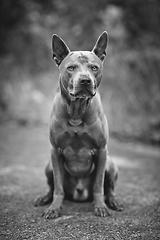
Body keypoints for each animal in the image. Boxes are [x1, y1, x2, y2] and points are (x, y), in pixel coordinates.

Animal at [34, 31, 122, 218]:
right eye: (71, 67)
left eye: (94, 68)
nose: (85, 80)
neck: (77, 110)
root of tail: (79, 194)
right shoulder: (55, 151)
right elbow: (58, 186)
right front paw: (54, 208)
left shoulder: (101, 151)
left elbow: (98, 184)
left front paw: (100, 206)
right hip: (48, 166)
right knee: (51, 186)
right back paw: (45, 198)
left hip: (110, 163)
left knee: (109, 188)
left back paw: (113, 201)